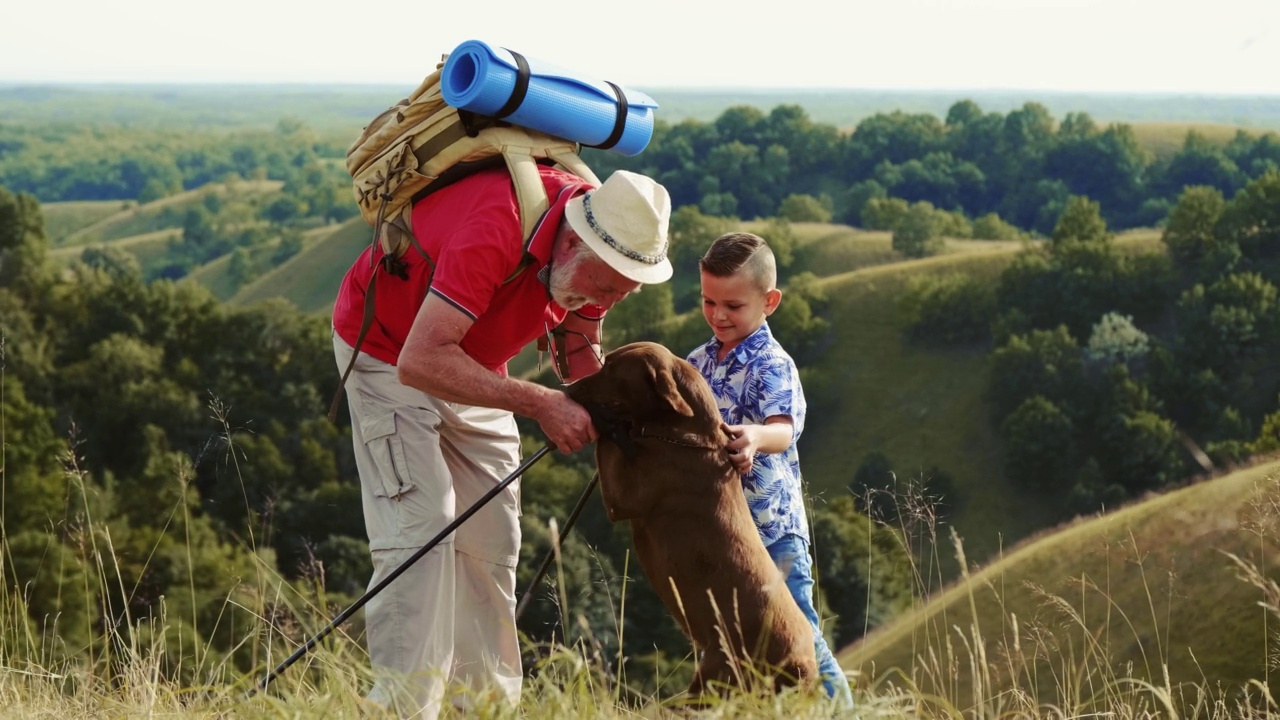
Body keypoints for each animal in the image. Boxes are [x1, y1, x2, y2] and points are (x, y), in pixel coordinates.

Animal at [565, 340, 814, 696]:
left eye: (611, 369)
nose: (567, 388)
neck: (685, 435)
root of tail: (806, 668)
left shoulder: (621, 498)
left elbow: (608, 438)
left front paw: (605, 422)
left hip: (713, 681)